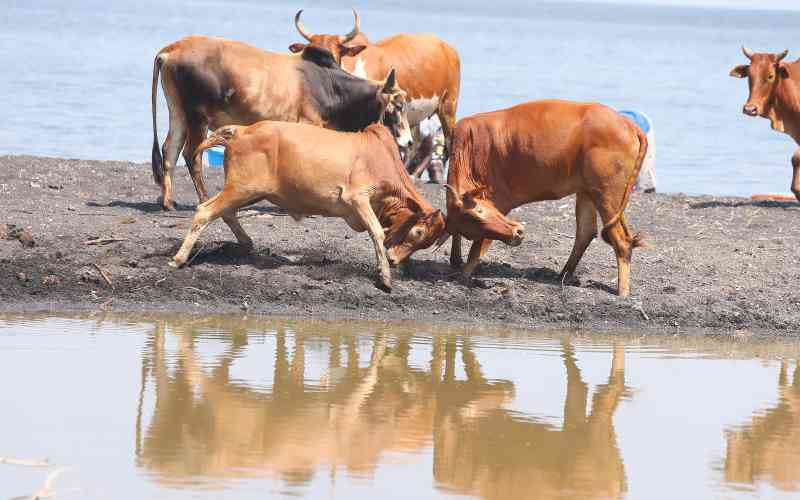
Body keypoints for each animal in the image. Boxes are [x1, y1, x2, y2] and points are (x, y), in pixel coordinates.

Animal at [150, 30, 412, 211]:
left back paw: (168, 202)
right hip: (198, 117)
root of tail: (171, 50)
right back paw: (203, 198)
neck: (328, 86)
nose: (409, 142)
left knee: (170, 149)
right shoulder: (308, 126)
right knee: (191, 153)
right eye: (398, 106)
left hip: (178, 112)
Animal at [170, 119, 446, 292]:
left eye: (425, 243)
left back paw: (246, 244)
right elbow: (377, 233)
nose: (395, 260)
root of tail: (242, 130)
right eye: (417, 231)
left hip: (248, 191)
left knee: (225, 212)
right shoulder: (357, 198)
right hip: (242, 188)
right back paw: (179, 259)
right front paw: (385, 278)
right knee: (205, 211)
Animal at [444, 99, 648, 298]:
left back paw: (622, 292)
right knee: (587, 232)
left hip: (606, 194)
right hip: (589, 193)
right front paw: (455, 261)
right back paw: (563, 276)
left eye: (480, 212)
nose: (517, 234)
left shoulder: (500, 202)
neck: (470, 146)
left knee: (620, 240)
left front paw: (463, 276)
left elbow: (478, 248)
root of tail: (627, 123)